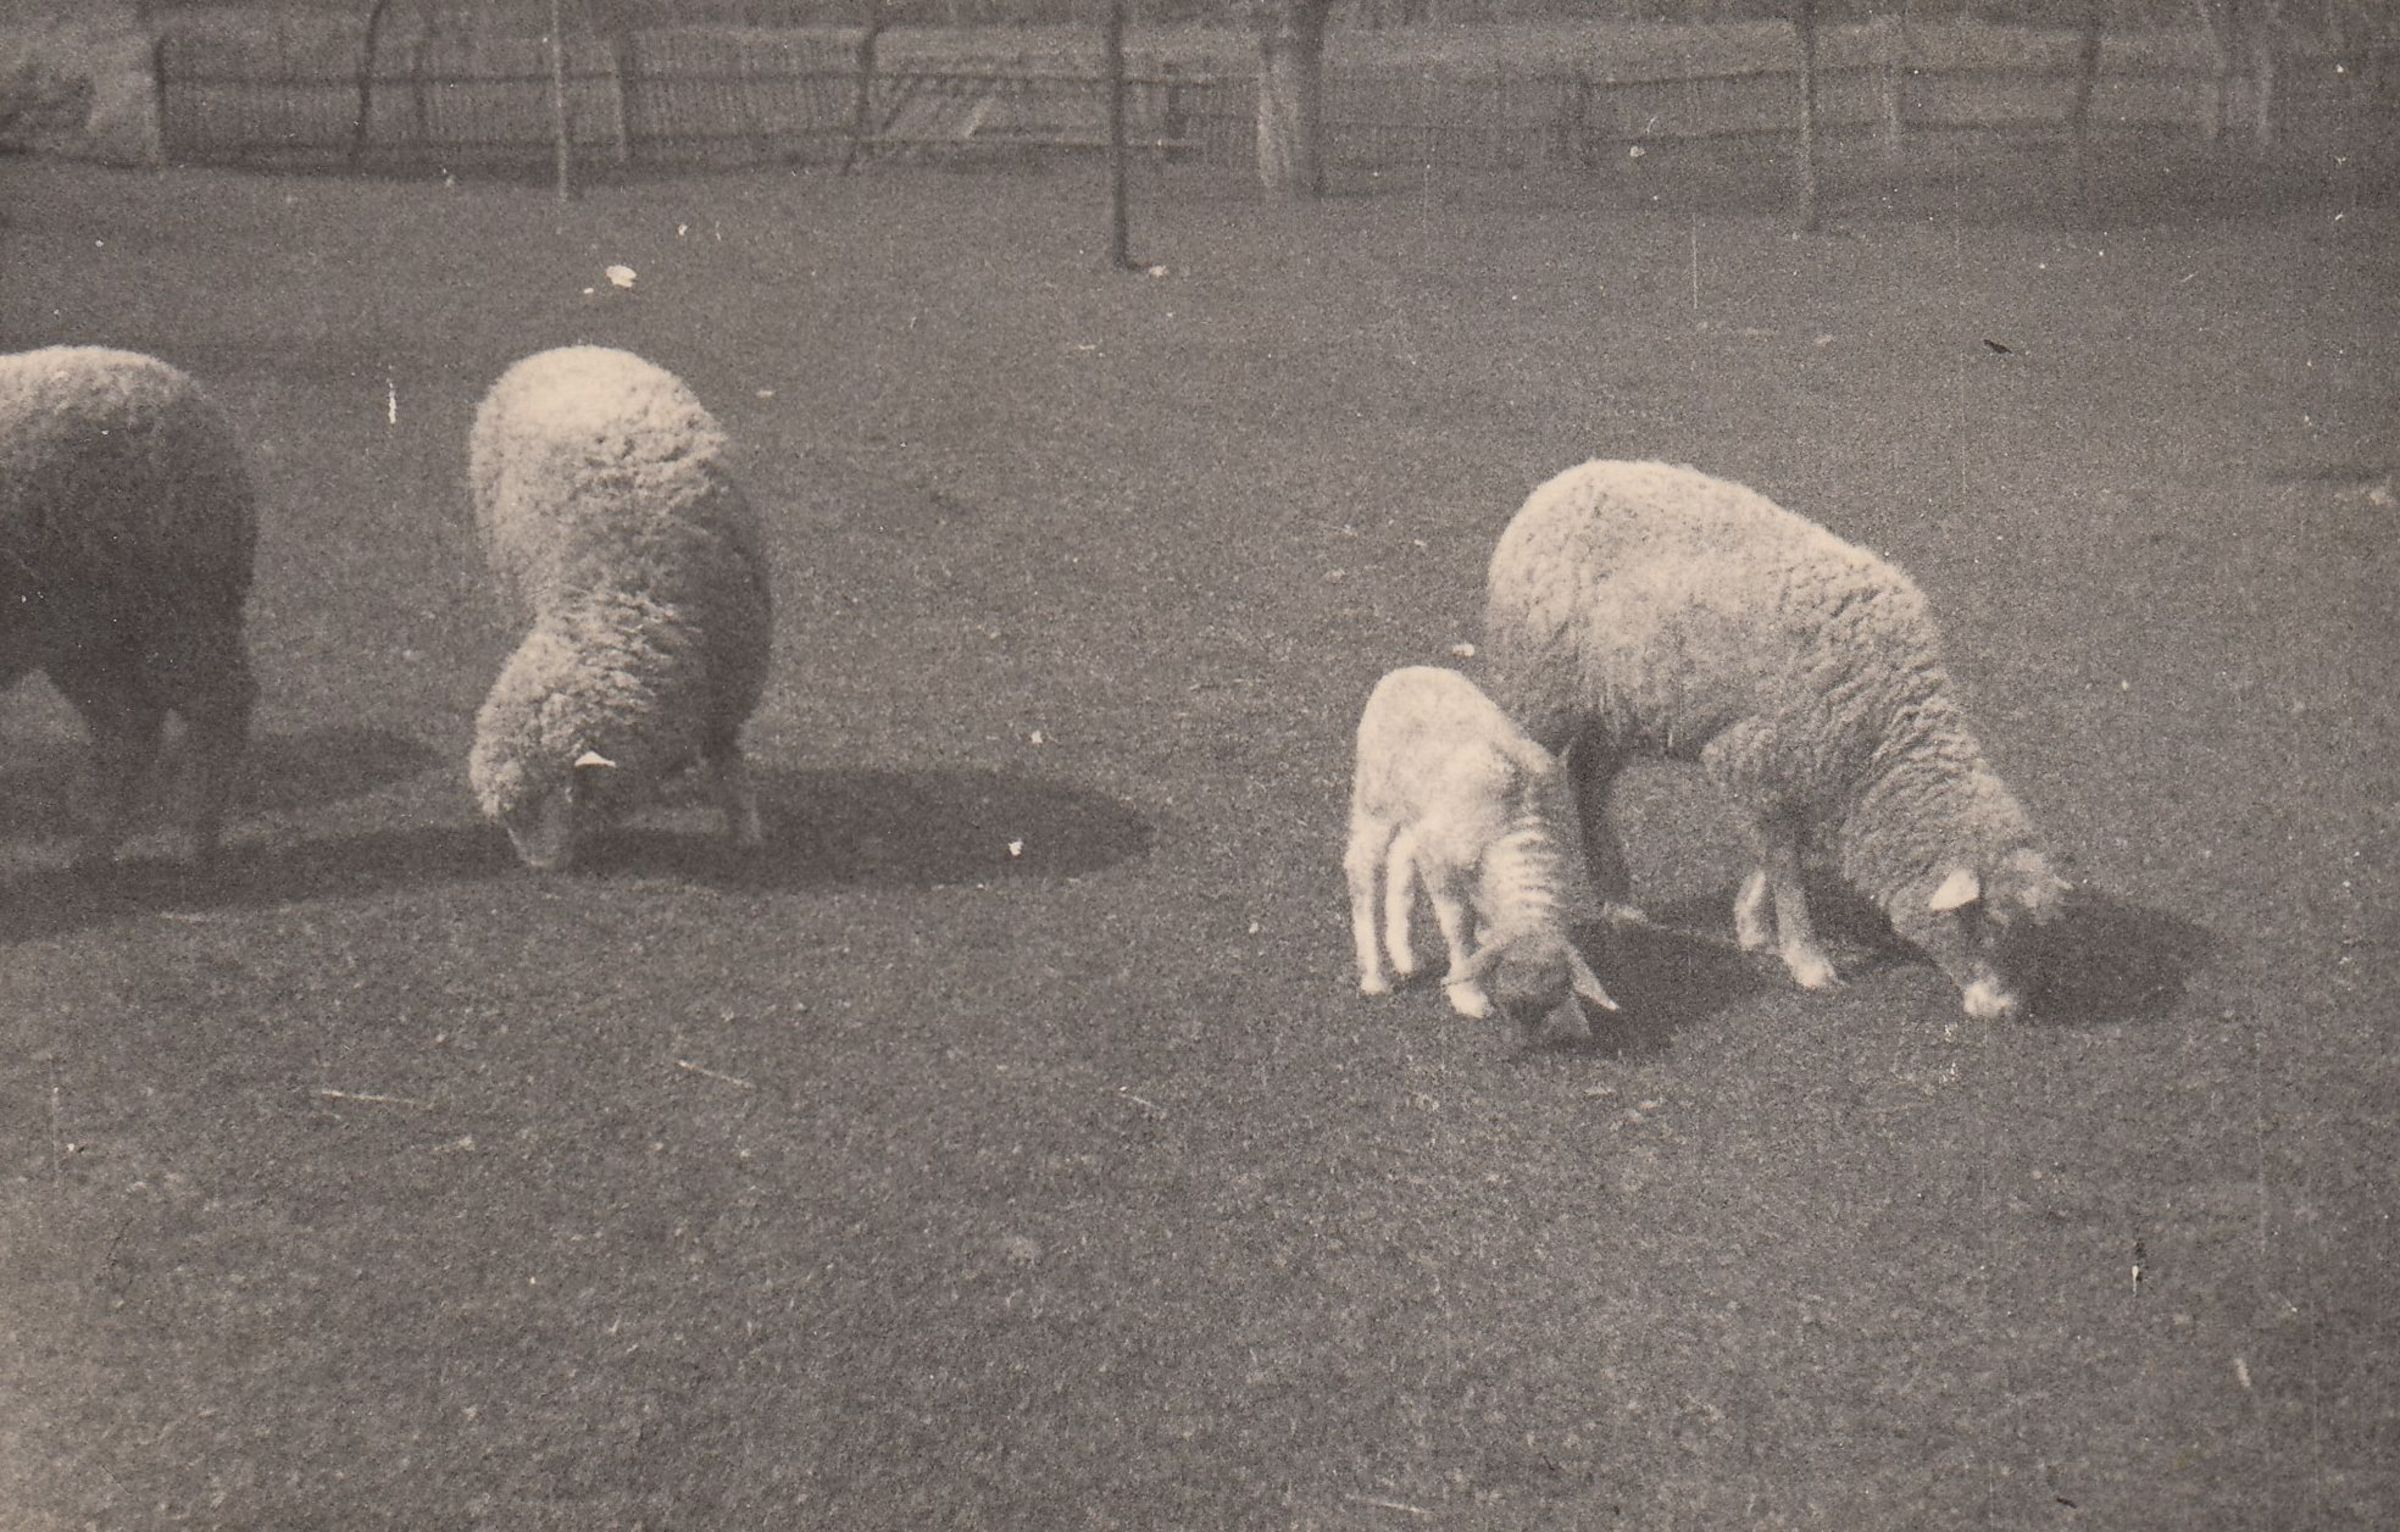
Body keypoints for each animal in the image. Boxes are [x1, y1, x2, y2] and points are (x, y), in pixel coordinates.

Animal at [0, 346, 258, 865]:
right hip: (87, 629)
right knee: (130, 726)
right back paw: (95, 849)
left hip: (177, 607)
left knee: (220, 704)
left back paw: (197, 836)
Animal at [467, 346, 773, 871]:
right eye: (510, 818)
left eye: (538, 805)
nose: (540, 871)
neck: (624, 594)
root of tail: (566, 349)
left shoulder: (727, 695)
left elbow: (728, 763)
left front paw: (745, 832)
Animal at [1344, 664, 1619, 1041]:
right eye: (1506, 1002)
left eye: (1550, 1001)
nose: (1523, 1044)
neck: (1514, 825)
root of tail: (1404, 672)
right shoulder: (1443, 866)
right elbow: (1459, 925)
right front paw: (1467, 995)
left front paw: (1572, 1015)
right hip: (1374, 800)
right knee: (1362, 871)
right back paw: (1375, 975)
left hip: (1418, 813)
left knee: (1402, 857)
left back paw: (1405, 956)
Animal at [1482, 459, 2068, 1021]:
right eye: (1986, 928)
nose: (2009, 1014)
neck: (1881, 737)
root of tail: (1562, 483)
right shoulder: (1748, 755)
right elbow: (1785, 863)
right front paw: (1807, 960)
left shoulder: (1804, 771)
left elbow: (1778, 851)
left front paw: (1752, 925)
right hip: (1542, 686)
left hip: (1622, 703)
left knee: (1589, 776)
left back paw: (1618, 901)